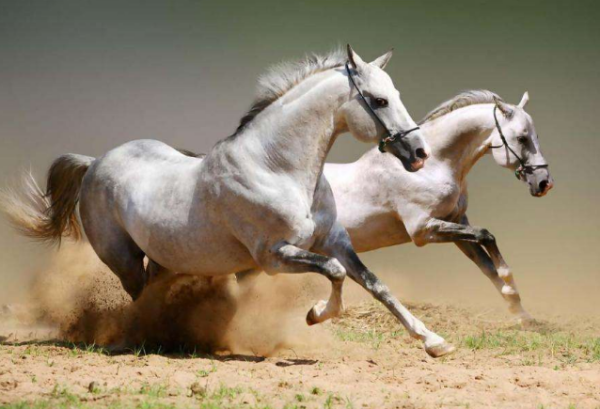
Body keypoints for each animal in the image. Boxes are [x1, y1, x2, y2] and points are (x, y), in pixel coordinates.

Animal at [2, 46, 458, 356]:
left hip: (165, 260)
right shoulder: (273, 256)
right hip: (123, 258)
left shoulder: (334, 241)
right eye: (379, 100)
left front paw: (433, 341)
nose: (419, 153)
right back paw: (145, 338)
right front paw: (315, 314)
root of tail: (95, 162)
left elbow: (375, 284)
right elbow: (335, 273)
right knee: (138, 298)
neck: (276, 168)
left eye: (395, 93)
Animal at [324, 90, 552, 322]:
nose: (544, 183)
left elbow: (486, 265)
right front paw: (509, 284)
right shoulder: (422, 230)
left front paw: (522, 314)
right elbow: (486, 235)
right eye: (522, 138)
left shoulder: (456, 223)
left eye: (537, 137)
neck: (431, 167)